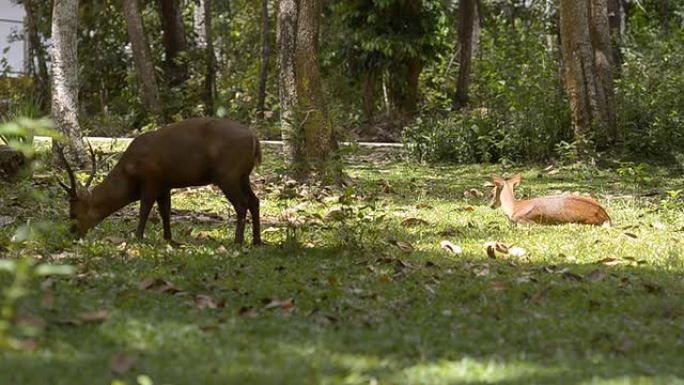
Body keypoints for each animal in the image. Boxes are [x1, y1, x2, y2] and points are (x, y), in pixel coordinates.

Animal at [56, 116, 262, 243]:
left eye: (73, 214)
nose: (71, 234)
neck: (129, 173)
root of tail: (254, 138)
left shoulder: (151, 179)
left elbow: (144, 209)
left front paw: (137, 237)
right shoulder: (165, 185)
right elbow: (165, 212)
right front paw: (168, 238)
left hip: (228, 174)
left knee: (242, 204)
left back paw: (237, 242)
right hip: (243, 175)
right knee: (255, 201)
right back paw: (256, 241)